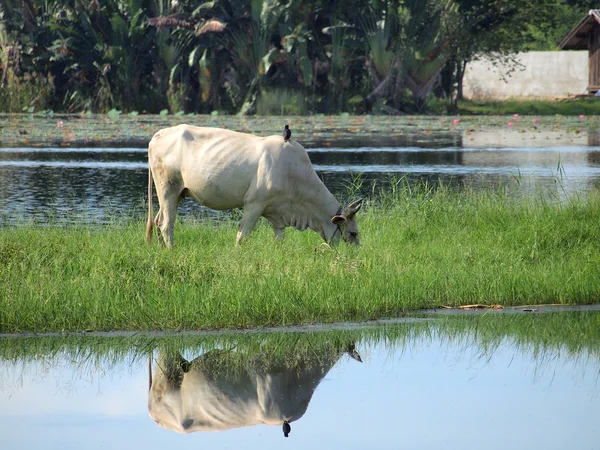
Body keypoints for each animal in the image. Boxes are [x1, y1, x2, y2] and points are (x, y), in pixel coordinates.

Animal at [146, 125, 360, 248]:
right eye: (353, 233)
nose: (355, 253)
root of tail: (158, 134)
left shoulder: (278, 215)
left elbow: (279, 240)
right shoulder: (254, 204)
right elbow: (242, 237)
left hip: (176, 194)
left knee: (158, 220)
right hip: (168, 189)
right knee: (166, 224)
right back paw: (171, 250)